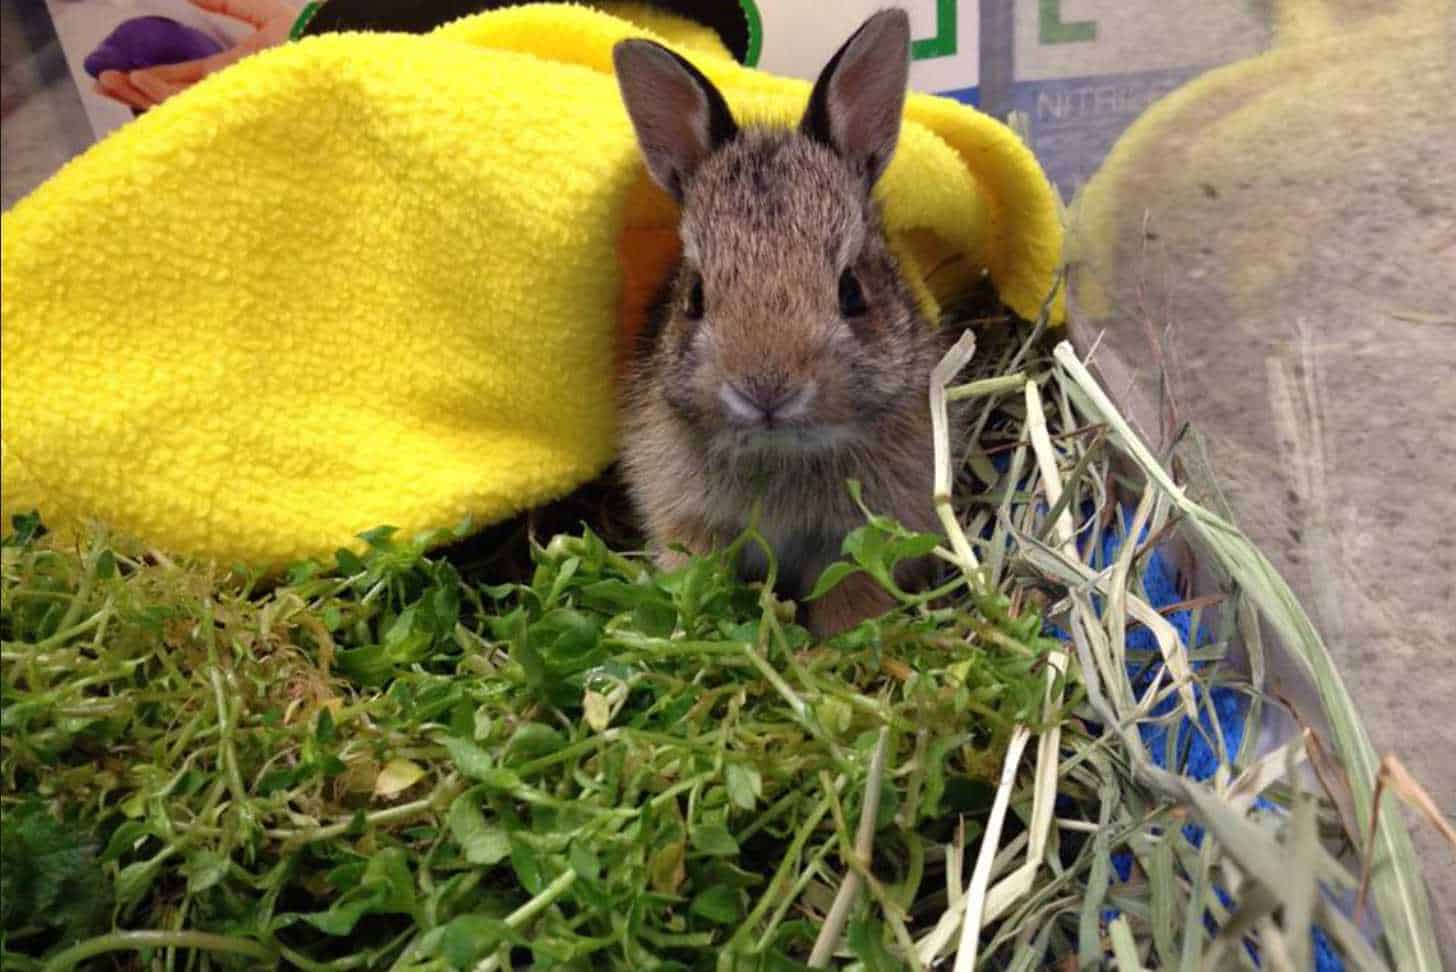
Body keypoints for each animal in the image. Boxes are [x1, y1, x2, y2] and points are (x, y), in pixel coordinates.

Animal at [611, 11, 955, 634]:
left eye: (852, 291)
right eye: (695, 296)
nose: (765, 390)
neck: (782, 451)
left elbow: (853, 592)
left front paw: (838, 645)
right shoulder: (685, 516)